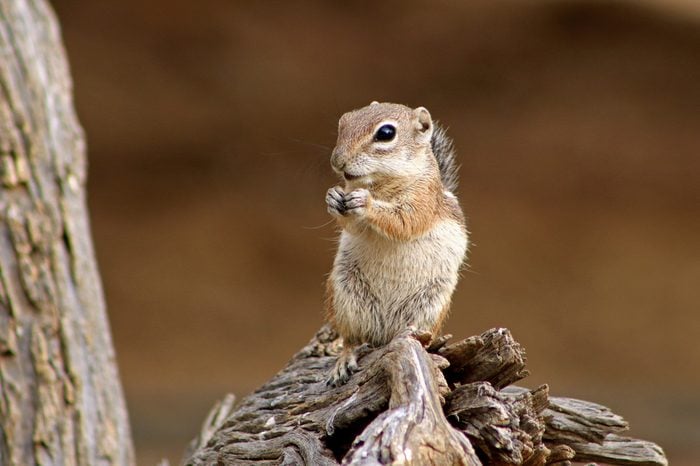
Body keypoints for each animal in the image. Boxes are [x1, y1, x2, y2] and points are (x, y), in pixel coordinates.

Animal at [326, 102, 468, 386]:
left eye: (386, 133)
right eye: (344, 121)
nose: (337, 161)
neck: (380, 184)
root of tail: (384, 333)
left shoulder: (423, 201)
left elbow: (404, 222)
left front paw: (366, 203)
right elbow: (353, 226)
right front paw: (333, 196)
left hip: (429, 306)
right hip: (346, 298)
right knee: (350, 339)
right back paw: (343, 361)